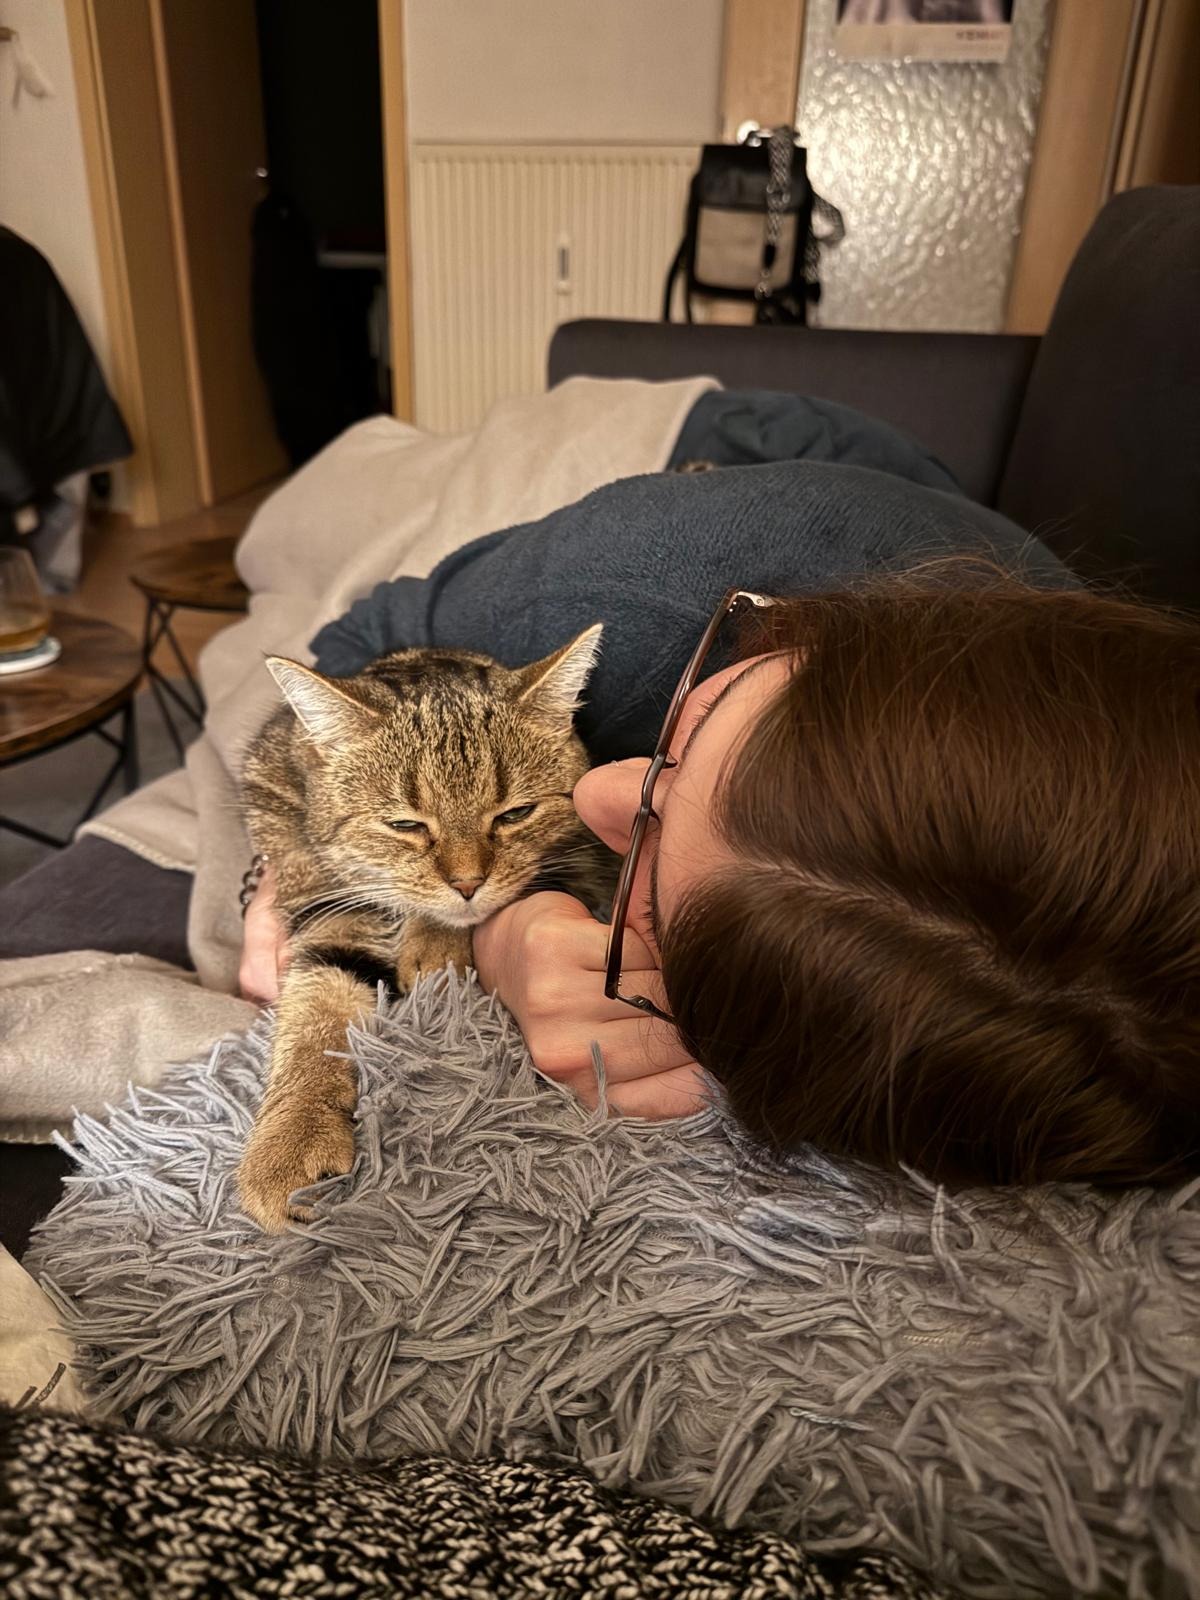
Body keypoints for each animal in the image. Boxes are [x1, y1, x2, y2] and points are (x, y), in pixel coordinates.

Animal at [237, 627, 616, 1232]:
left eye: (515, 814)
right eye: (405, 825)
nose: (467, 882)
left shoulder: (582, 861)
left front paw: (437, 943)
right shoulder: (324, 908)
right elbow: (313, 1016)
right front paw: (291, 1142)